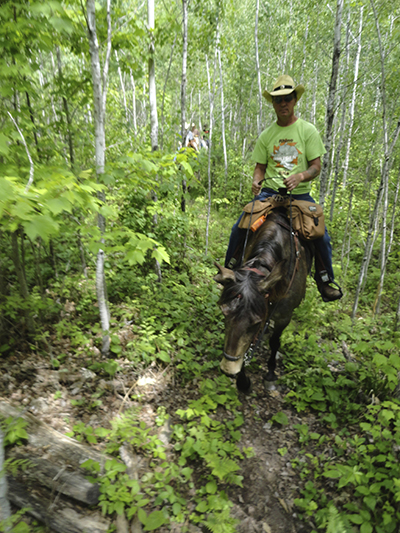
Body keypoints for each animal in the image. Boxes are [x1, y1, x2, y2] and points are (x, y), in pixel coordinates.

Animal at [216, 210, 312, 392]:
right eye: (225, 315)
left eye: (255, 323)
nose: (228, 370)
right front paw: (243, 381)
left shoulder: (284, 316)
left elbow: (274, 342)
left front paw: (270, 374)